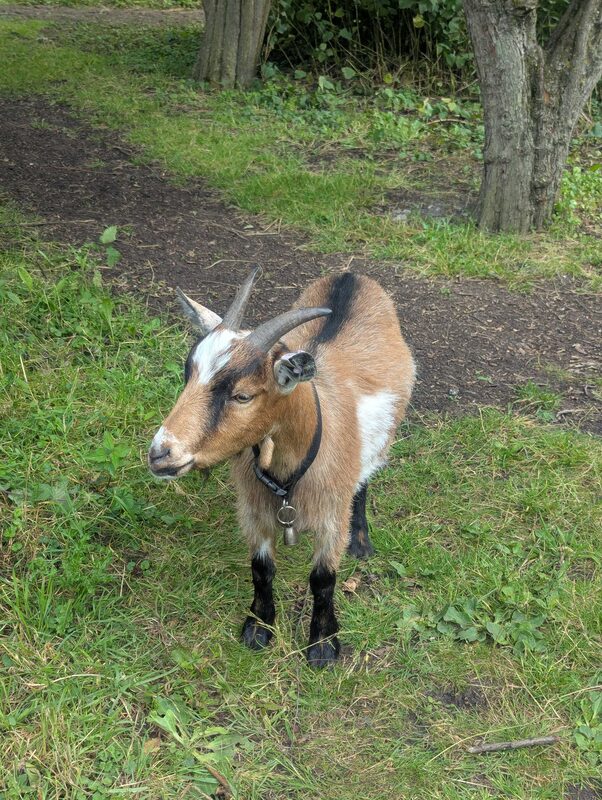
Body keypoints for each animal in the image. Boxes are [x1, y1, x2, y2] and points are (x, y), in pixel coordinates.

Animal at [148, 271, 415, 667]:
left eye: (243, 395)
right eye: (187, 377)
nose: (160, 454)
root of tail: (351, 276)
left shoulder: (331, 515)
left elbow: (323, 579)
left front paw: (322, 646)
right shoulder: (254, 509)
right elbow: (261, 570)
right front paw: (258, 629)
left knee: (365, 478)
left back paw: (362, 542)